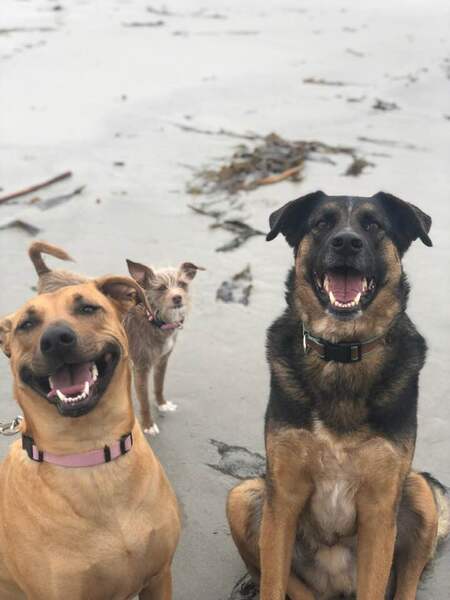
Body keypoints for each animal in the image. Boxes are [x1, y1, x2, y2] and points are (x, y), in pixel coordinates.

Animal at [125, 258, 205, 436]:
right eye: (161, 288)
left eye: (182, 284)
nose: (178, 298)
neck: (154, 320)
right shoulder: (140, 368)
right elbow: (144, 401)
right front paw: (148, 425)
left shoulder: (162, 360)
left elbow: (159, 385)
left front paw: (162, 404)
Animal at [227, 192, 448, 600]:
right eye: (321, 223)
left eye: (374, 225)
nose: (346, 242)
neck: (341, 352)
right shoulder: (282, 501)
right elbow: (273, 580)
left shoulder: (379, 510)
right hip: (244, 496)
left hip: (419, 491)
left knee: (406, 583)